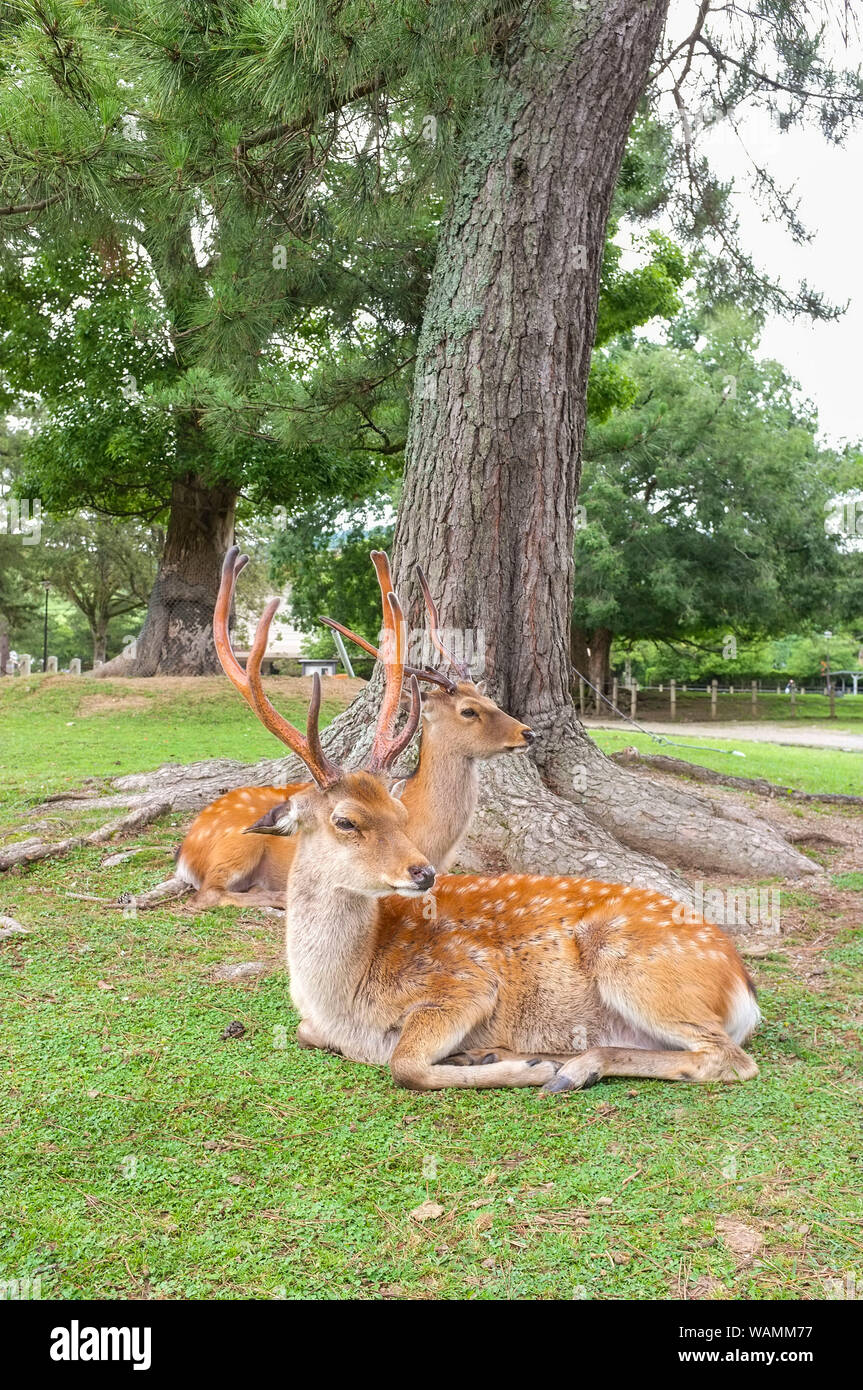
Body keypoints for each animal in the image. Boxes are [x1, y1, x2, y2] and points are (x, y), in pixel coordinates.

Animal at [171, 553, 530, 911]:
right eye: (468, 711)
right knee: (206, 895)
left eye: (491, 700)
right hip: (237, 847)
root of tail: (185, 848)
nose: (529, 733)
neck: (432, 841)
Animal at [216, 544, 761, 1095]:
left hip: (638, 971)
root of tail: (742, 983)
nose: (423, 873)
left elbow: (404, 1063)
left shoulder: (466, 982)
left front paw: (525, 1067)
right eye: (346, 821)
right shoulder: (318, 1023)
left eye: (398, 812)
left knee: (728, 1059)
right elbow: (308, 1033)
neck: (341, 1001)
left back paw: (567, 1067)